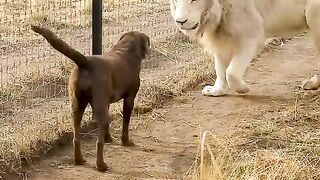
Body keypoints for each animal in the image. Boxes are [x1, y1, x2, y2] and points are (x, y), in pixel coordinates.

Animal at [31, 25, 150, 172]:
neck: (125, 50)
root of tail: (86, 62)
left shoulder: (106, 103)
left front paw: (109, 138)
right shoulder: (129, 99)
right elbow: (125, 123)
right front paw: (126, 141)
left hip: (77, 106)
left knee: (76, 138)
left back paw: (79, 160)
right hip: (98, 107)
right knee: (98, 142)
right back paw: (101, 165)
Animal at [170, 0, 320, 96]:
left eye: (194, 0)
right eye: (176, 0)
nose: (180, 21)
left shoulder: (252, 34)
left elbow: (231, 73)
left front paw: (243, 89)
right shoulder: (220, 38)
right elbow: (220, 69)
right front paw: (217, 91)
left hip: (314, 18)